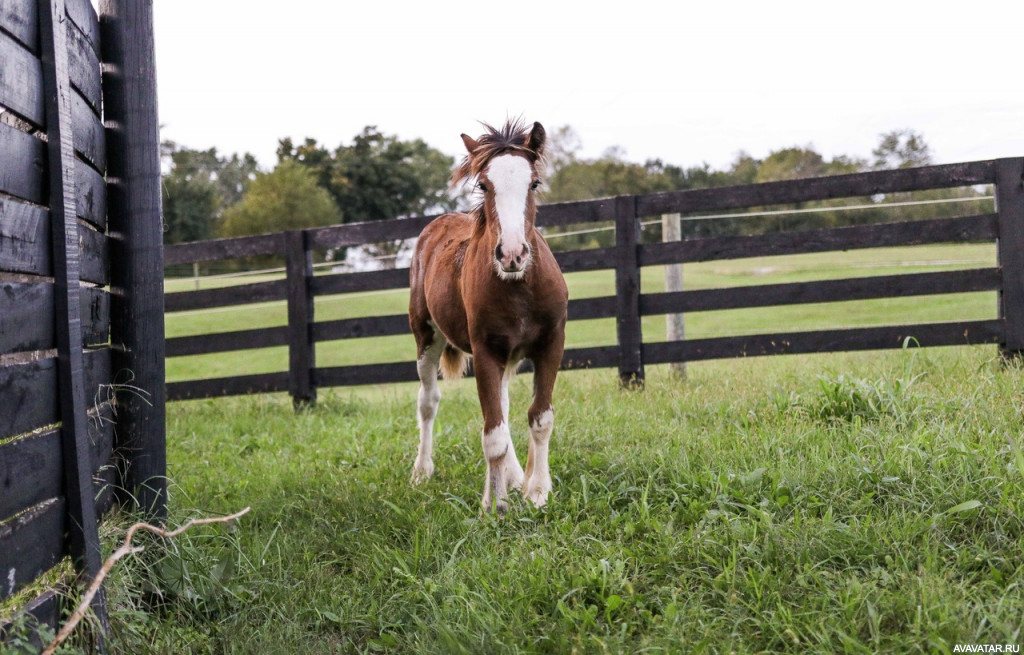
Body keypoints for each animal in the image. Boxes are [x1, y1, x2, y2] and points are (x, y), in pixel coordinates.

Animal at [407, 120, 569, 513]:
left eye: (534, 183)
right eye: (483, 184)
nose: (512, 254)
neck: (519, 287)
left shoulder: (551, 343)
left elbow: (539, 418)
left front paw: (536, 491)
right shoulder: (484, 352)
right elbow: (493, 434)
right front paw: (494, 505)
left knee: (506, 407)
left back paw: (515, 477)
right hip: (426, 336)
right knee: (428, 401)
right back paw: (421, 471)